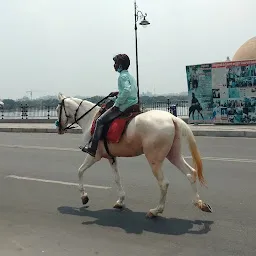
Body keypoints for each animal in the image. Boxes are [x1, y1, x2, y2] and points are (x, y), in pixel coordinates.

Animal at [56, 93, 212, 217]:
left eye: (58, 109)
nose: (58, 127)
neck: (91, 120)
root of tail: (172, 118)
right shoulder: (111, 157)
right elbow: (117, 178)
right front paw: (120, 200)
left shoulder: (94, 155)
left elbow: (80, 171)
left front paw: (84, 197)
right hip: (173, 154)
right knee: (191, 173)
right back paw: (199, 203)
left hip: (154, 159)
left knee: (164, 183)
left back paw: (156, 210)